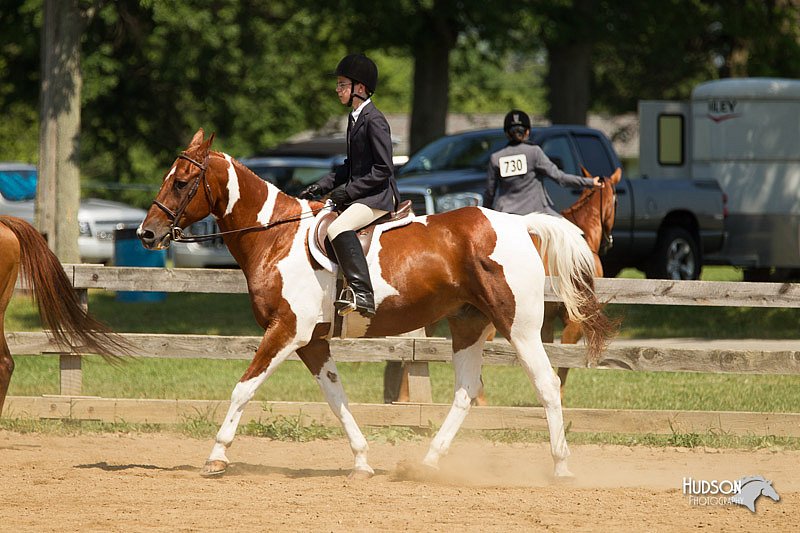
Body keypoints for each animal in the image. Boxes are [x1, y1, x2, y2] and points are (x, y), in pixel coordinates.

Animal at [138, 130, 616, 478]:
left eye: (182, 182)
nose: (146, 233)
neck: (275, 237)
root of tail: (521, 225)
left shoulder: (287, 331)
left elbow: (244, 387)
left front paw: (216, 457)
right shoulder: (313, 341)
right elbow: (336, 398)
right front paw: (363, 461)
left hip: (519, 326)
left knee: (547, 384)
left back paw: (561, 467)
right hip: (468, 325)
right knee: (465, 391)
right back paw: (427, 463)